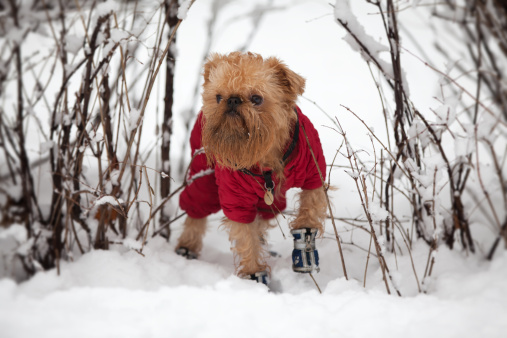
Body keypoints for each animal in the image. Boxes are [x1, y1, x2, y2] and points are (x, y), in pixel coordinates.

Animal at [177, 50, 328, 282]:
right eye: (218, 97)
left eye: (257, 99)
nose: (232, 100)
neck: (264, 158)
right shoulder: (237, 201)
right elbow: (246, 237)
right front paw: (254, 273)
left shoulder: (313, 172)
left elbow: (309, 210)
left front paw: (305, 251)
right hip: (203, 177)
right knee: (196, 207)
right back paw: (187, 246)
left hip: (271, 201)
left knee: (263, 218)